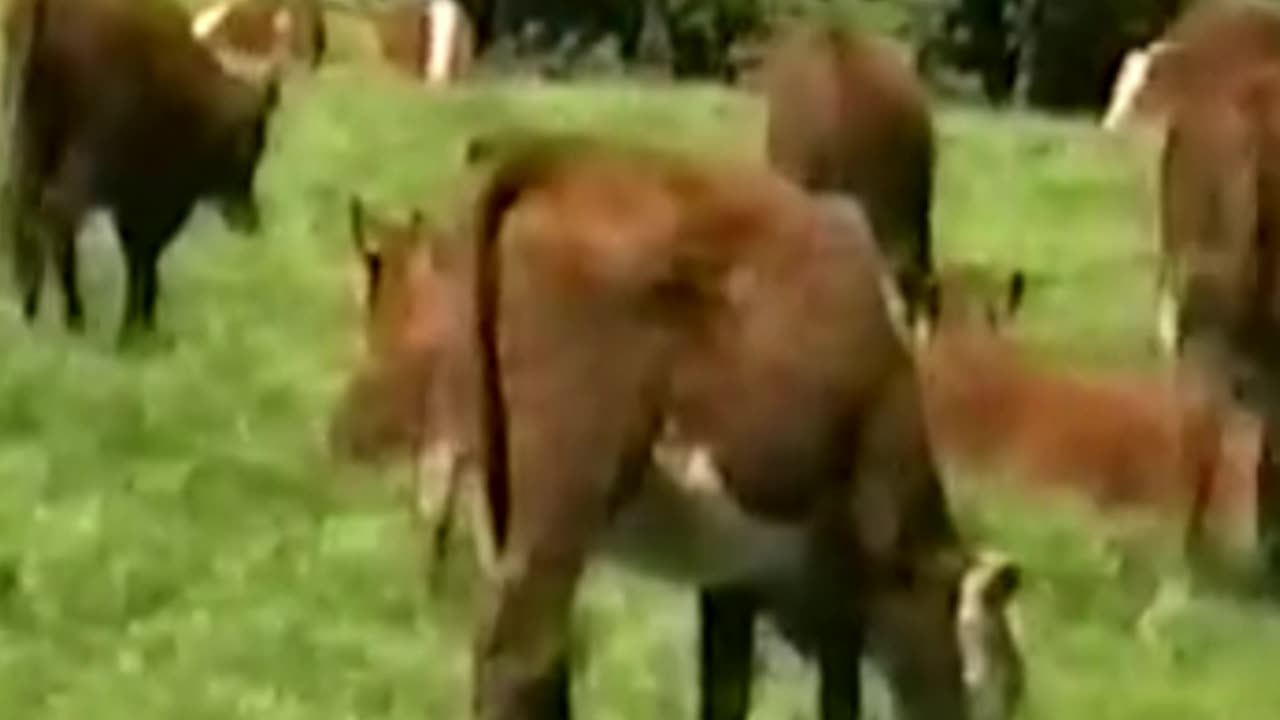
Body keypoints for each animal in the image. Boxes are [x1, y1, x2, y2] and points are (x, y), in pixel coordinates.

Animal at [2, 0, 280, 340]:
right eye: (251, 146)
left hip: (27, 138)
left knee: (20, 212)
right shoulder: (151, 202)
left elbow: (138, 258)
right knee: (58, 215)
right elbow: (145, 257)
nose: (250, 221)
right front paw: (138, 329)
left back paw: (30, 311)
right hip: (84, 155)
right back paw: (75, 318)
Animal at [328, 136, 1027, 720]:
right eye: (1004, 685)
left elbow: (727, 690)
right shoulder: (839, 576)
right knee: (522, 652)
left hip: (486, 482)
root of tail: (557, 153)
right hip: (564, 492)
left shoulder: (736, 582)